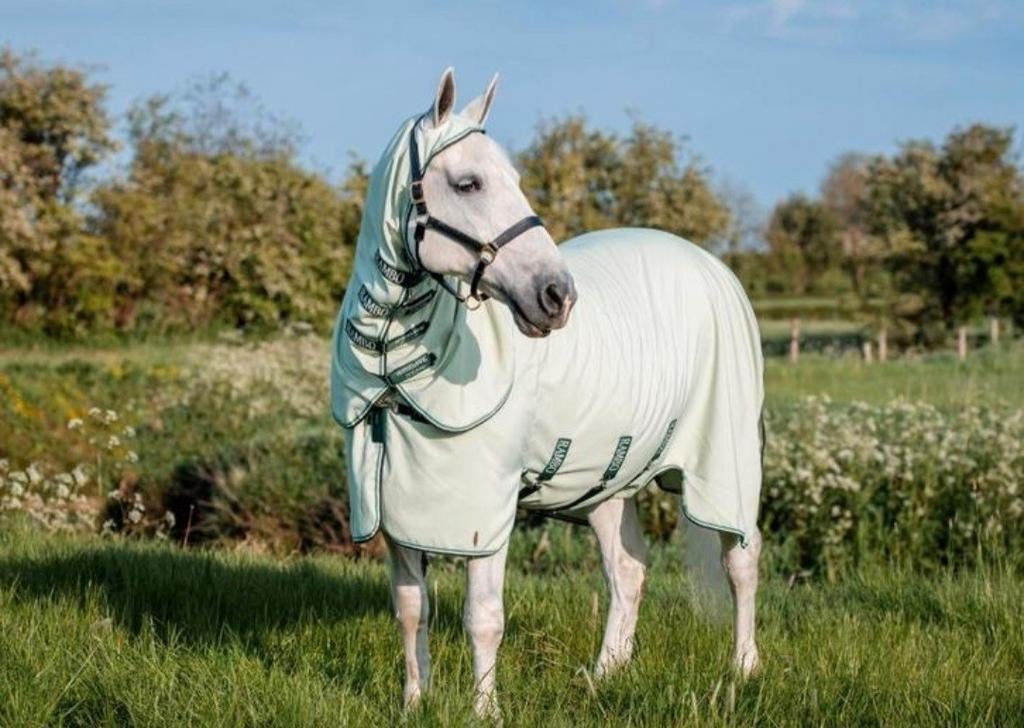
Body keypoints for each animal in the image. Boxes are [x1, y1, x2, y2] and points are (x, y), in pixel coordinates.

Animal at [329, 68, 765, 718]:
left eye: (515, 180)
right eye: (468, 182)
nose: (557, 295)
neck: (396, 364)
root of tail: (713, 267)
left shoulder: (487, 511)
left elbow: (483, 617)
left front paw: (484, 713)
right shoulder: (395, 505)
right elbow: (411, 611)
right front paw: (412, 703)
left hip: (728, 460)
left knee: (741, 558)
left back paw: (743, 669)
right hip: (611, 479)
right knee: (627, 571)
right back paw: (605, 675)